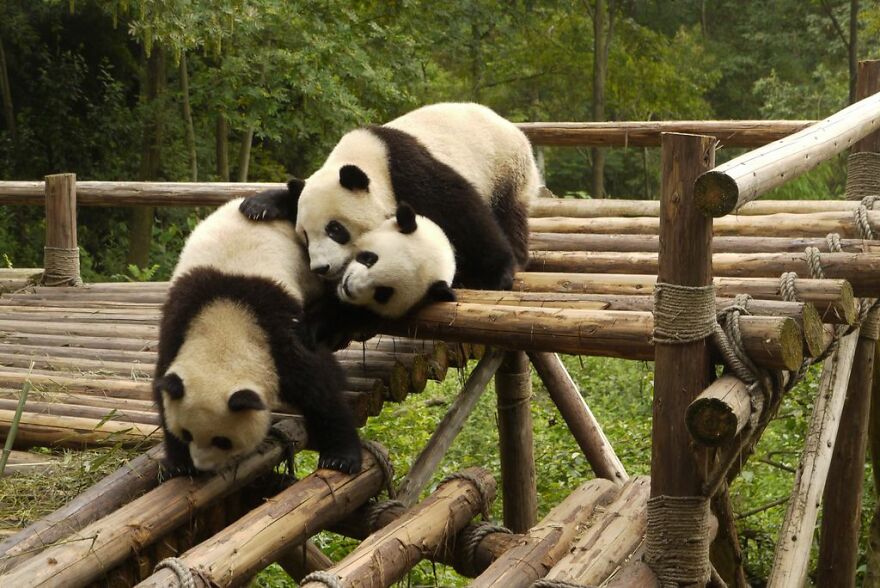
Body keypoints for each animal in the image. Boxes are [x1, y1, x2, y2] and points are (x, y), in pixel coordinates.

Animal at [152, 195, 363, 475]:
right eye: (187, 434)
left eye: (222, 441)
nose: (203, 466)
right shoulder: (180, 321)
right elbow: (163, 390)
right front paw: (180, 464)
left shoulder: (277, 332)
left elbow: (321, 390)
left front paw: (341, 457)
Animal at [239, 102, 540, 291]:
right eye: (304, 235)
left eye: (335, 229)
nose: (322, 267)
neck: (366, 157)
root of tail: (511, 126)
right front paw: (259, 205)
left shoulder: (408, 170)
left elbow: (460, 210)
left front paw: (493, 274)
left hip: (506, 169)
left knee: (507, 213)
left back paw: (514, 257)